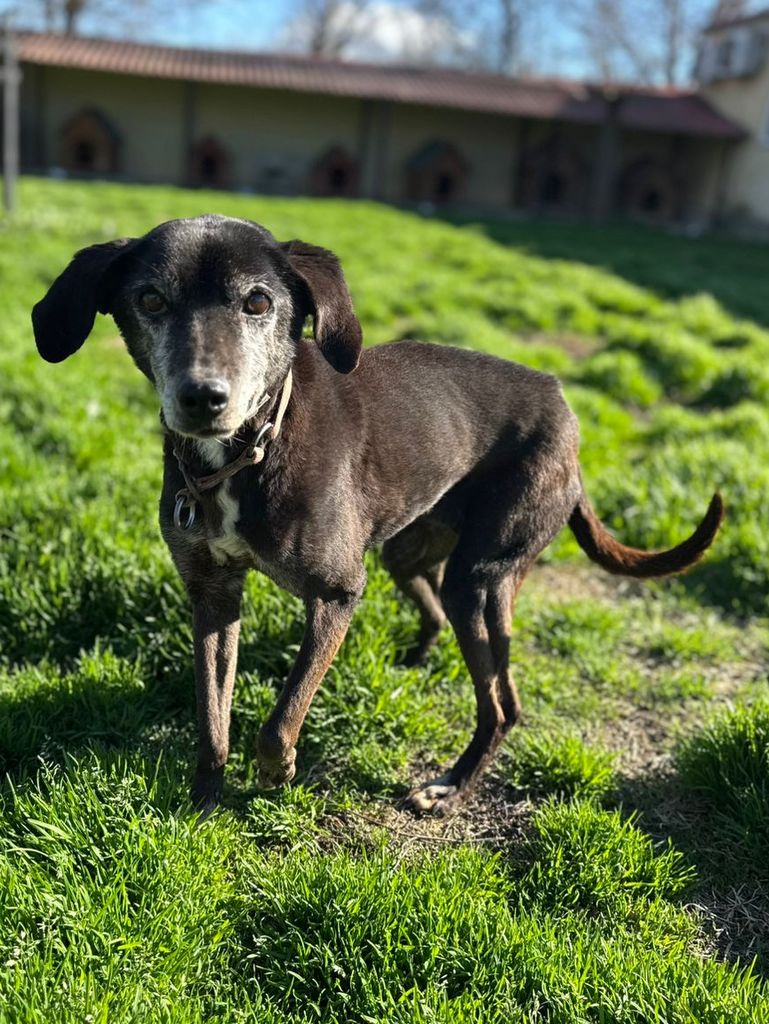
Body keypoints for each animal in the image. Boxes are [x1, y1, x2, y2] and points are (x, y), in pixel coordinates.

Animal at [32, 215, 723, 816]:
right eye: (151, 300)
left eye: (257, 303)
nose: (203, 398)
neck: (252, 450)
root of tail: (567, 411)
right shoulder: (212, 593)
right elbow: (211, 713)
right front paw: (204, 800)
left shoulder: (338, 592)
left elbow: (280, 717)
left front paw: (277, 772)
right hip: (413, 553)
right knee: (449, 626)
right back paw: (417, 667)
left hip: (481, 576)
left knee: (501, 701)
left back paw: (449, 786)